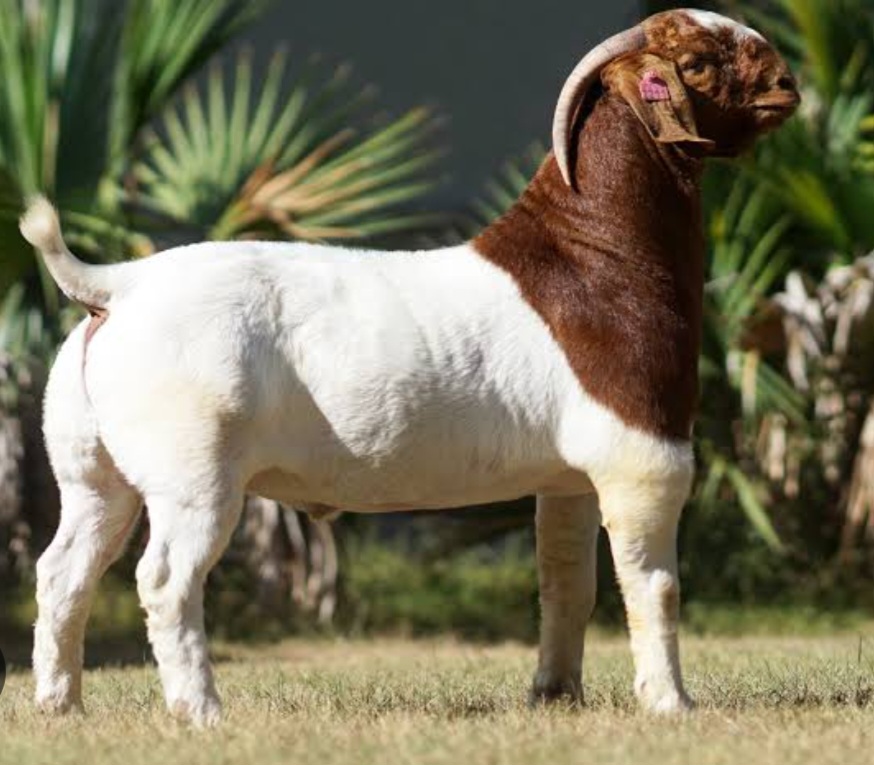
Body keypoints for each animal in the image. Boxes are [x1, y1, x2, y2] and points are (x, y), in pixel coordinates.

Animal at [21, 8, 798, 725]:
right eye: (697, 62)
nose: (787, 84)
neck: (592, 253)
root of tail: (117, 286)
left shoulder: (570, 478)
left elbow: (564, 583)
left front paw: (555, 695)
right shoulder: (644, 456)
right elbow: (654, 584)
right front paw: (672, 703)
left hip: (92, 473)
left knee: (63, 571)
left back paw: (60, 705)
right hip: (193, 472)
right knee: (166, 578)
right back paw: (201, 710)